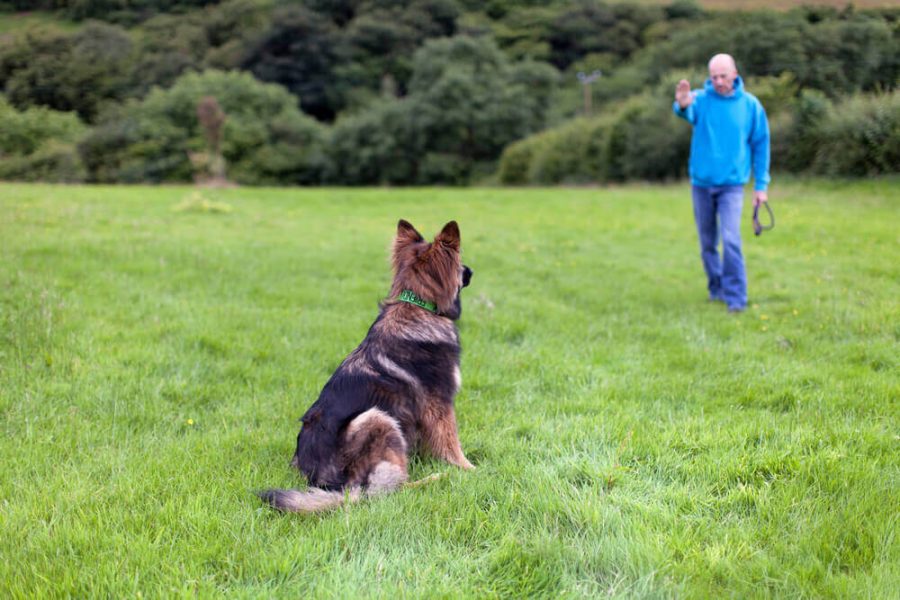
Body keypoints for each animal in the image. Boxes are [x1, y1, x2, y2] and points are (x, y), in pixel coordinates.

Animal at [258, 220, 474, 510]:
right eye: (460, 263)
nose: (471, 271)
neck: (417, 305)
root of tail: (334, 486)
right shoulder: (440, 405)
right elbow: (452, 443)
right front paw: (468, 469)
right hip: (376, 418)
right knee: (390, 488)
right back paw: (435, 478)